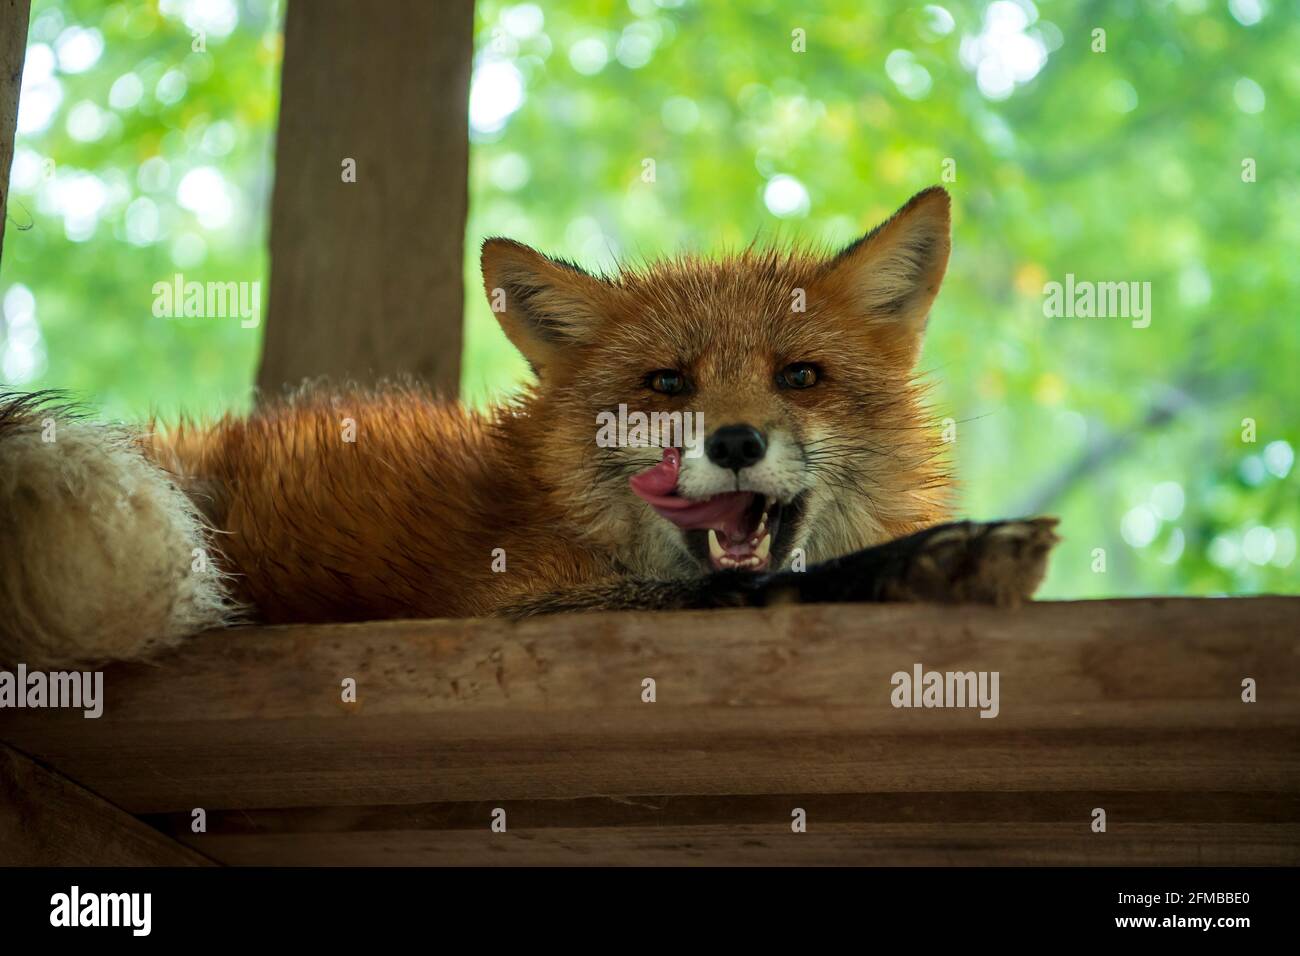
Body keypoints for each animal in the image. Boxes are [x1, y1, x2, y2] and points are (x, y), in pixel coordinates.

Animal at [0, 184, 1055, 665]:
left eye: (800, 377)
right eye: (667, 382)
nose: (734, 443)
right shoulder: (513, 607)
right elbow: (749, 589)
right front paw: (943, 560)